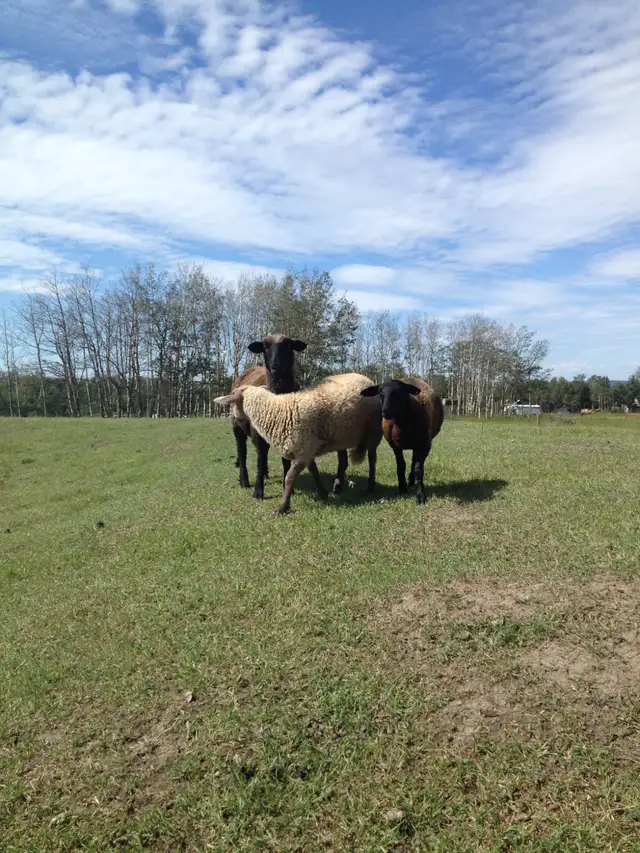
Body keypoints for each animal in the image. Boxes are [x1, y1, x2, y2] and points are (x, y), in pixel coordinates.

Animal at [215, 372, 382, 515]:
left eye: (231, 403)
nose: (233, 420)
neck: (277, 412)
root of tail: (365, 378)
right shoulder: (306, 451)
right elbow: (314, 471)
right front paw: (323, 493)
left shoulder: (303, 452)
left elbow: (289, 478)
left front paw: (282, 507)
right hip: (341, 435)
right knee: (343, 462)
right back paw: (337, 486)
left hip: (373, 432)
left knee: (372, 460)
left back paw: (370, 487)